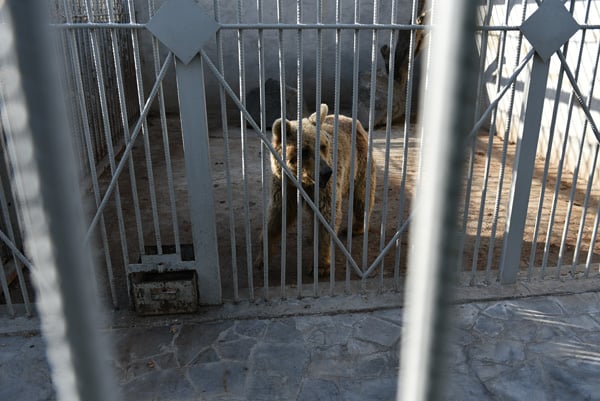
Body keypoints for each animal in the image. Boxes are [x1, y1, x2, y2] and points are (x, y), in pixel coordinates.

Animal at [254, 103, 376, 276]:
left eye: (323, 146)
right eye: (304, 151)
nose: (326, 172)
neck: (302, 181)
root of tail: (351, 119)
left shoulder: (323, 188)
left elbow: (326, 217)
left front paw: (320, 266)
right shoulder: (285, 184)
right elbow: (278, 215)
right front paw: (262, 259)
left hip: (360, 162)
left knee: (362, 197)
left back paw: (356, 228)